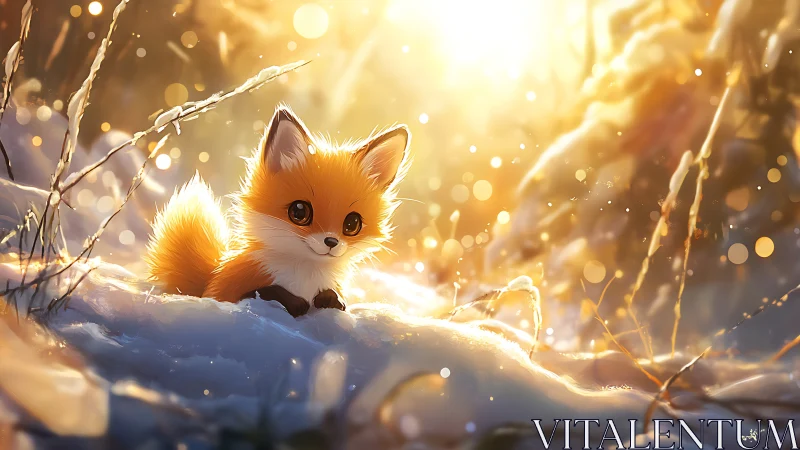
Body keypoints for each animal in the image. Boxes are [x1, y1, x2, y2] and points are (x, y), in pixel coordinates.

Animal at [144, 106, 410, 316]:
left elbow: (334, 298)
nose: (331, 242)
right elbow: (268, 292)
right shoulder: (231, 287)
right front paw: (296, 303)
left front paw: (330, 300)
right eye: (299, 212)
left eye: (352, 224)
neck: (305, 275)